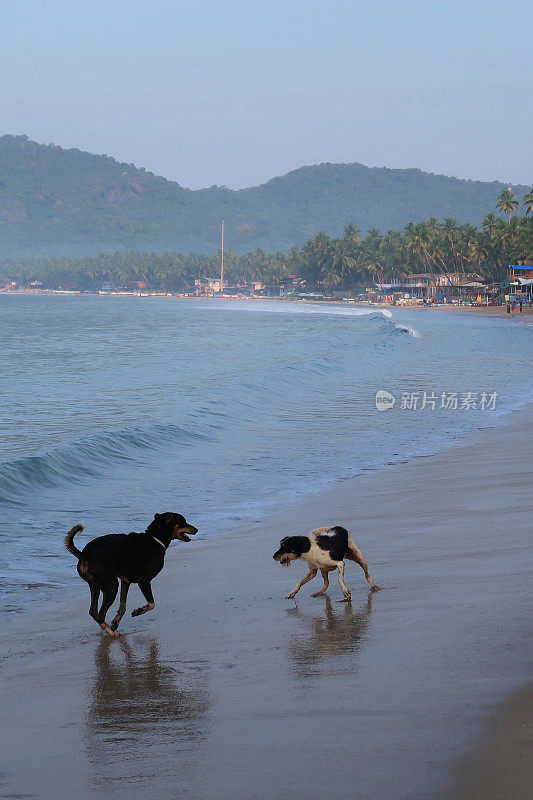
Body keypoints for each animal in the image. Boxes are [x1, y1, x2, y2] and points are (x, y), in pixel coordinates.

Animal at [65, 512, 197, 636]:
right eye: (183, 522)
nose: (196, 529)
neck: (155, 539)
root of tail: (85, 555)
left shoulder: (125, 581)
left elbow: (123, 606)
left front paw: (116, 622)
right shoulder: (144, 581)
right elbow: (151, 604)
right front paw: (139, 611)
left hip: (95, 585)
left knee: (93, 612)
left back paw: (108, 626)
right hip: (111, 586)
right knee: (101, 614)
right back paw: (111, 633)